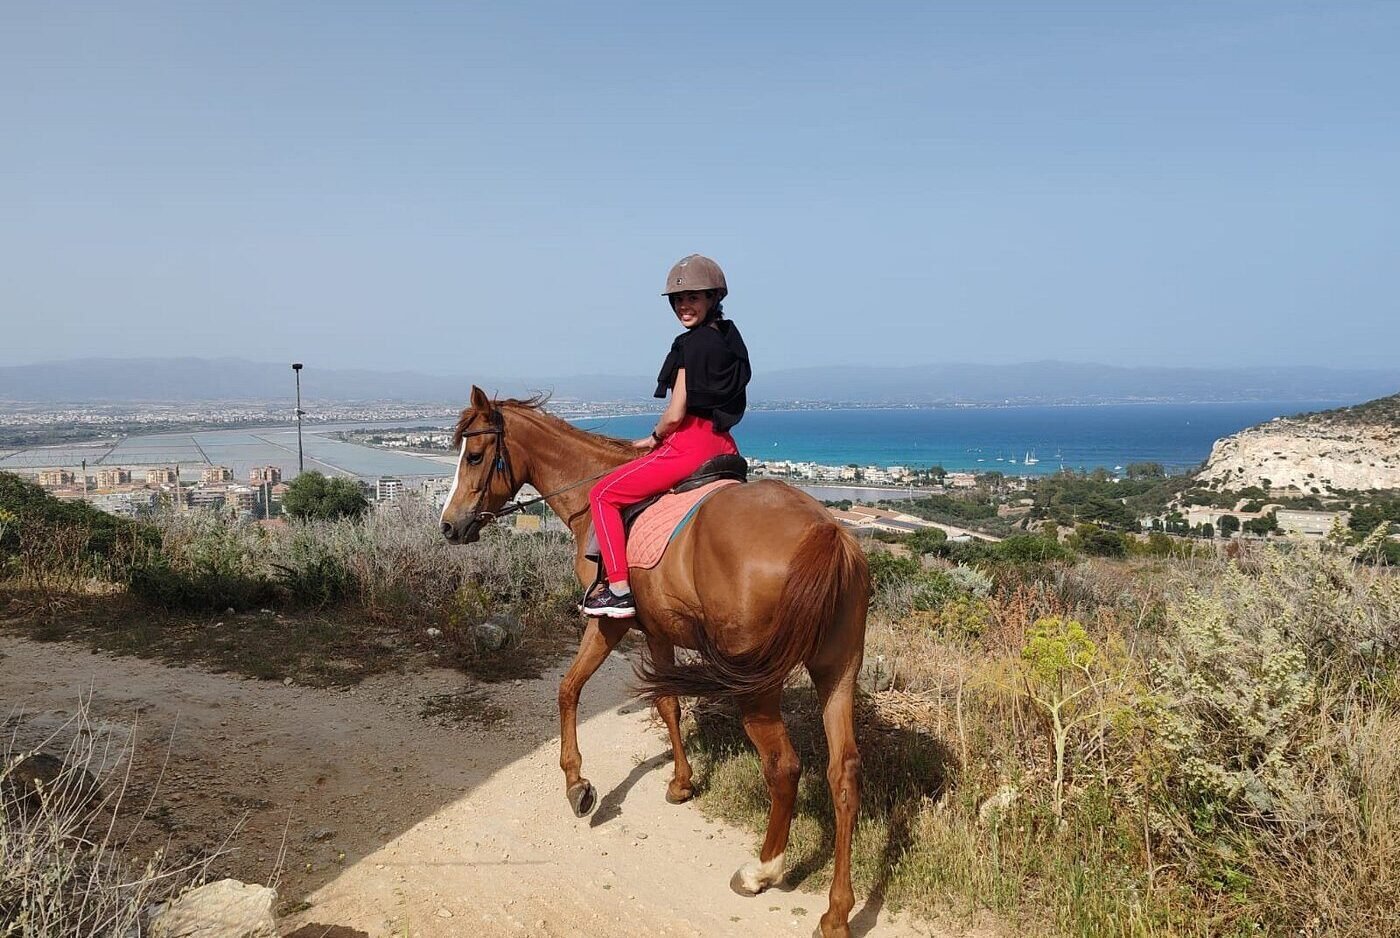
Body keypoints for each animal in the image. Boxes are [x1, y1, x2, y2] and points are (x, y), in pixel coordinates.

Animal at [439, 387, 870, 938]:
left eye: (474, 455)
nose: (449, 526)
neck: (592, 488)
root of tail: (826, 532)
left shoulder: (609, 622)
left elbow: (568, 688)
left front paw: (577, 784)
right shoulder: (661, 631)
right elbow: (668, 705)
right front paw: (682, 783)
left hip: (759, 684)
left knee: (784, 766)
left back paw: (761, 870)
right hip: (838, 671)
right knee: (844, 774)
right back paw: (836, 912)